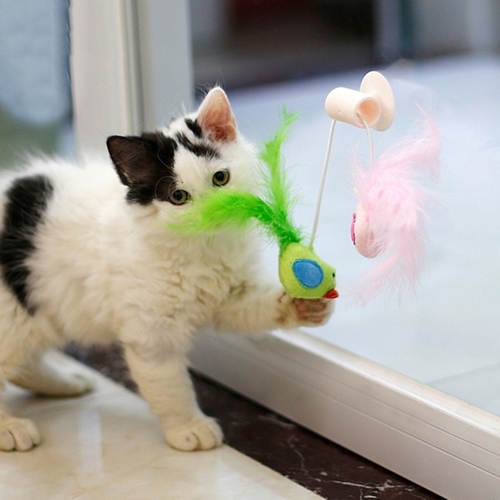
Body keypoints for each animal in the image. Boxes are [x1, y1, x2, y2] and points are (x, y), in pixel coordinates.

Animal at [0, 88, 332, 452]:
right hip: (15, 318)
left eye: (220, 178)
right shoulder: (152, 334)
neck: (205, 251)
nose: (214, 213)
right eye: (178, 196)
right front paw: (189, 428)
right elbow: (171, 387)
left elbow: (255, 306)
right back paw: (11, 429)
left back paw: (66, 384)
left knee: (20, 365)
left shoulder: (231, 296)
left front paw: (305, 306)